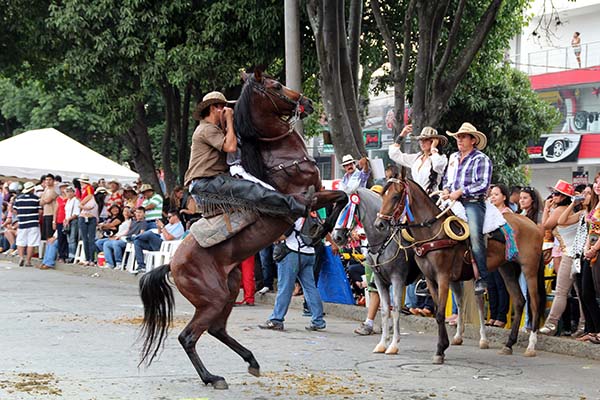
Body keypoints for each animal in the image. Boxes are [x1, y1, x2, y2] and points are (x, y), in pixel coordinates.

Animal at [138, 70, 348, 390]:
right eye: (276, 85)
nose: (308, 101)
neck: (280, 158)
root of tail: (171, 264)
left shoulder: (320, 191)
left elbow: (343, 197)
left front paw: (319, 232)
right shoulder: (305, 197)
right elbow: (332, 201)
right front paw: (317, 231)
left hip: (228, 290)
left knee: (216, 330)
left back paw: (251, 361)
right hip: (211, 300)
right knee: (189, 336)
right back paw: (212, 377)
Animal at [331, 187, 420, 355]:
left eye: (347, 209)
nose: (336, 237)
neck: (385, 240)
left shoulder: (397, 280)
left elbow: (396, 309)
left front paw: (393, 345)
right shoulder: (380, 281)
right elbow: (385, 310)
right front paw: (382, 344)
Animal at [374, 175, 546, 364]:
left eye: (396, 196)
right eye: (383, 195)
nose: (379, 224)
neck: (432, 231)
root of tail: (534, 225)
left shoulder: (443, 277)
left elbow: (440, 313)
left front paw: (440, 350)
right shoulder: (430, 279)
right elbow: (439, 312)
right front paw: (444, 346)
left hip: (529, 269)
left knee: (535, 303)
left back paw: (531, 346)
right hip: (507, 268)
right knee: (519, 300)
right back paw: (508, 344)